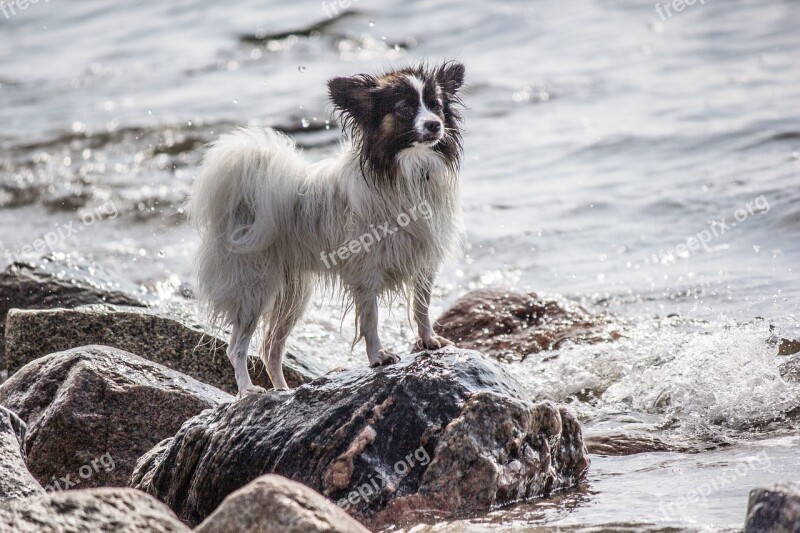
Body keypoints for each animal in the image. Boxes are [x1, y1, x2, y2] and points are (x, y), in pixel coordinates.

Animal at [188, 61, 466, 394]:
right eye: (404, 109)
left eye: (436, 106)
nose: (435, 125)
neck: (405, 172)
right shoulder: (366, 272)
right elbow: (371, 320)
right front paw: (378, 356)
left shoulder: (423, 263)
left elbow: (421, 307)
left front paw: (428, 341)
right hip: (254, 291)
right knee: (237, 348)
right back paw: (247, 390)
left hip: (292, 296)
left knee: (271, 350)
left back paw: (284, 391)